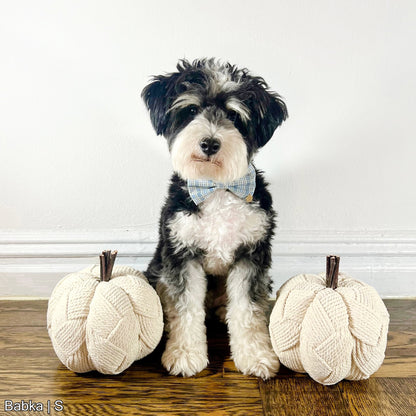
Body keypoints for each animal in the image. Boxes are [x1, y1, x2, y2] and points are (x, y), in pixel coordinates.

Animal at [141, 58, 288, 380]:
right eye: (191, 110)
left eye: (234, 115)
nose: (209, 143)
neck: (217, 188)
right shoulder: (182, 255)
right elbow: (186, 310)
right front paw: (185, 354)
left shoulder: (251, 255)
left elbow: (247, 310)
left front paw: (256, 355)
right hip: (158, 269)